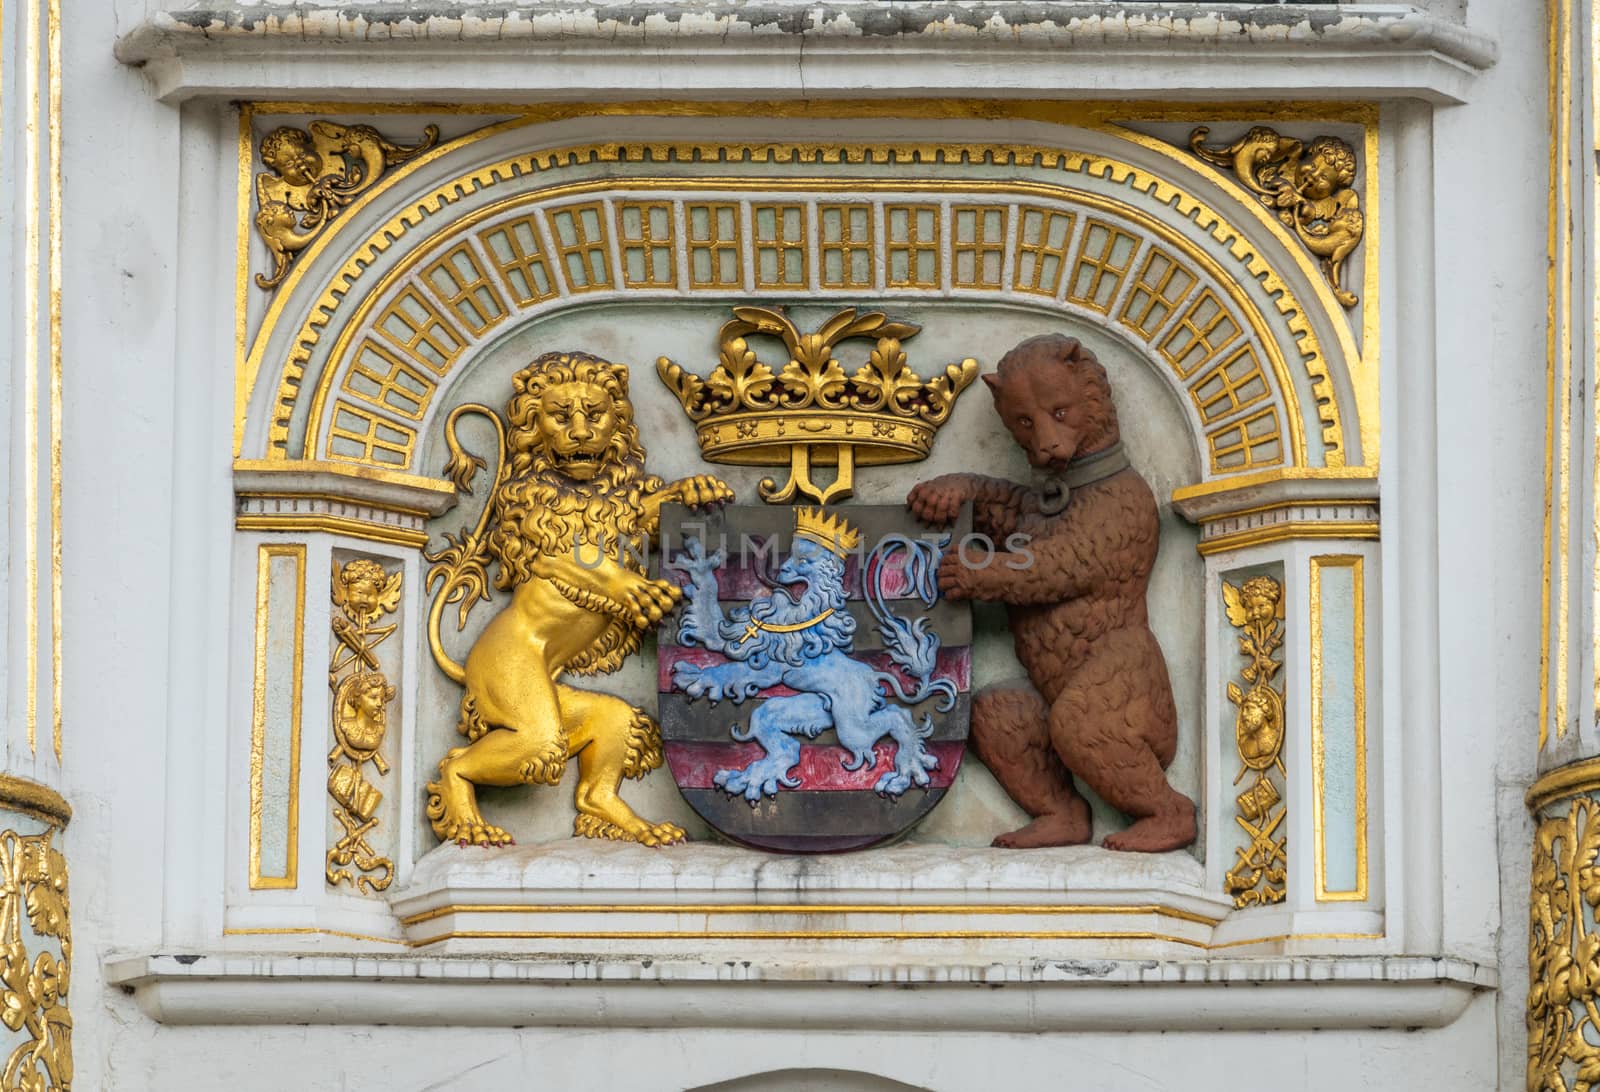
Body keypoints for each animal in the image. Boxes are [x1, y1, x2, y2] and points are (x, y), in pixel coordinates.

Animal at [672, 509, 953, 800]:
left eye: (803, 560)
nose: (782, 569)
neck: (799, 612)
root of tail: (873, 675)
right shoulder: (744, 636)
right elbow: (711, 623)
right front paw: (699, 566)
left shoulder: (770, 663)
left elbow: (730, 669)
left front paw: (696, 679)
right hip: (816, 708)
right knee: (780, 735)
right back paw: (746, 779)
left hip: (851, 721)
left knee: (894, 717)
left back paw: (903, 774)